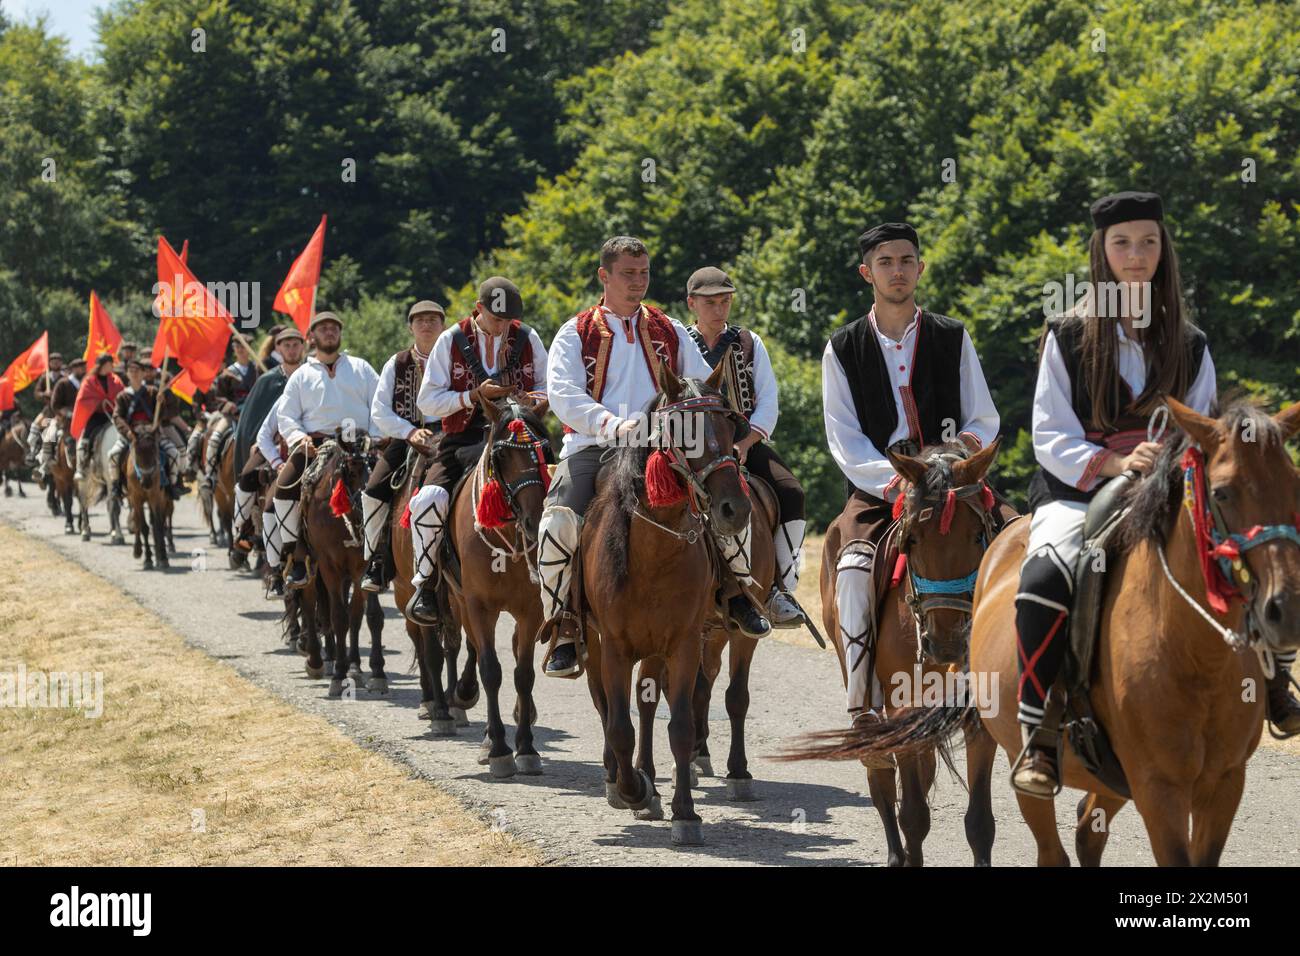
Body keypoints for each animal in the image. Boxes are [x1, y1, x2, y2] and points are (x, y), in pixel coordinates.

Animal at [297, 434, 387, 697]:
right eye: (354, 468)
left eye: (380, 466)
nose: (371, 505)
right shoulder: (329, 567)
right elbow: (338, 617)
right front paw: (339, 675)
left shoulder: (360, 567)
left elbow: (360, 616)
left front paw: (364, 670)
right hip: (311, 565)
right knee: (310, 605)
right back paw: (318, 661)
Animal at [582, 358, 754, 842]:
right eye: (682, 429)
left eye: (729, 424)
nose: (734, 508)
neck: (654, 552)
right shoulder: (615, 647)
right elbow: (618, 725)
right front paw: (633, 791)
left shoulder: (683, 644)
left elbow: (678, 724)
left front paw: (684, 812)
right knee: (606, 706)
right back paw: (619, 779)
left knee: (647, 704)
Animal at [780, 442, 1003, 868]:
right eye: (912, 539)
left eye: (977, 535)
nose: (946, 642)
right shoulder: (903, 704)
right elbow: (913, 816)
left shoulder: (978, 714)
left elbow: (980, 822)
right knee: (881, 776)